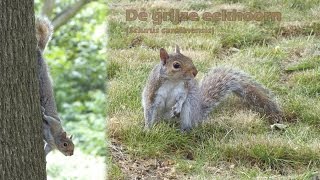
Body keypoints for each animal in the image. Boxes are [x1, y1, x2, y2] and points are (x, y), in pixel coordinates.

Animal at [35, 16, 74, 155]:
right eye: (65, 144)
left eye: (74, 146)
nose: (71, 154)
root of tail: (39, 50)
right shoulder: (54, 124)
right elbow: (49, 119)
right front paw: (42, 114)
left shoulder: (50, 145)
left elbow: (46, 150)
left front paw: (45, 158)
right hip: (40, 73)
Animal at [142, 45, 282, 131]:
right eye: (176, 65)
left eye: (190, 58)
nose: (195, 72)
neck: (173, 81)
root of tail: (198, 114)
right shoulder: (153, 91)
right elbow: (149, 110)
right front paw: (148, 130)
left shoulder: (184, 88)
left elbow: (182, 98)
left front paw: (177, 106)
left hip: (189, 107)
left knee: (187, 120)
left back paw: (183, 130)